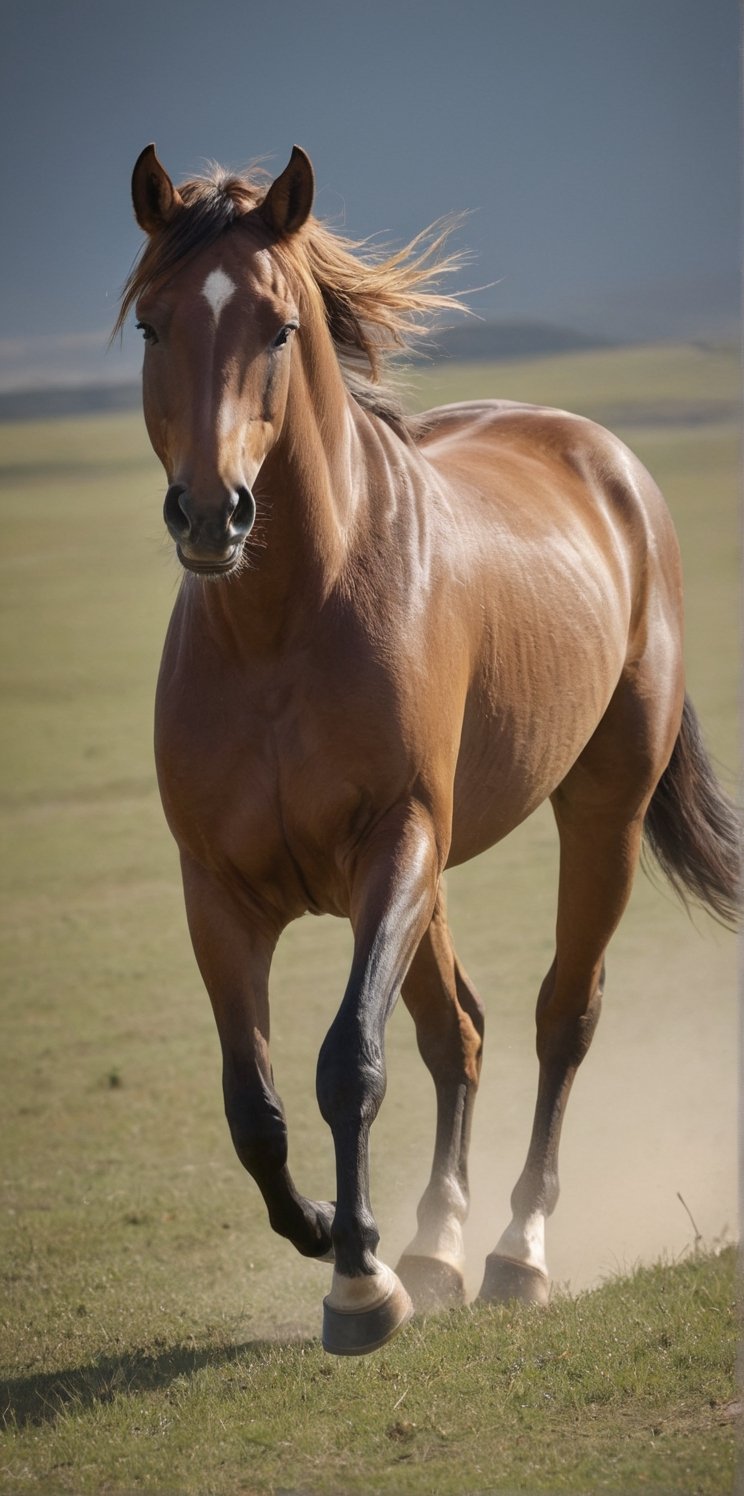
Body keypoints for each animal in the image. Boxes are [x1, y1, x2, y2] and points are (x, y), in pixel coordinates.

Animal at [119, 140, 739, 1358]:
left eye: (277, 327)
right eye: (154, 326)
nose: (211, 515)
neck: (281, 627)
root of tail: (602, 455)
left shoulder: (393, 844)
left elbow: (348, 1059)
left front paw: (359, 1284)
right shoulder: (217, 891)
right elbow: (253, 1104)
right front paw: (327, 1228)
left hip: (599, 813)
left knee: (562, 1017)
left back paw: (512, 1252)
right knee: (462, 1032)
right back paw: (436, 1244)